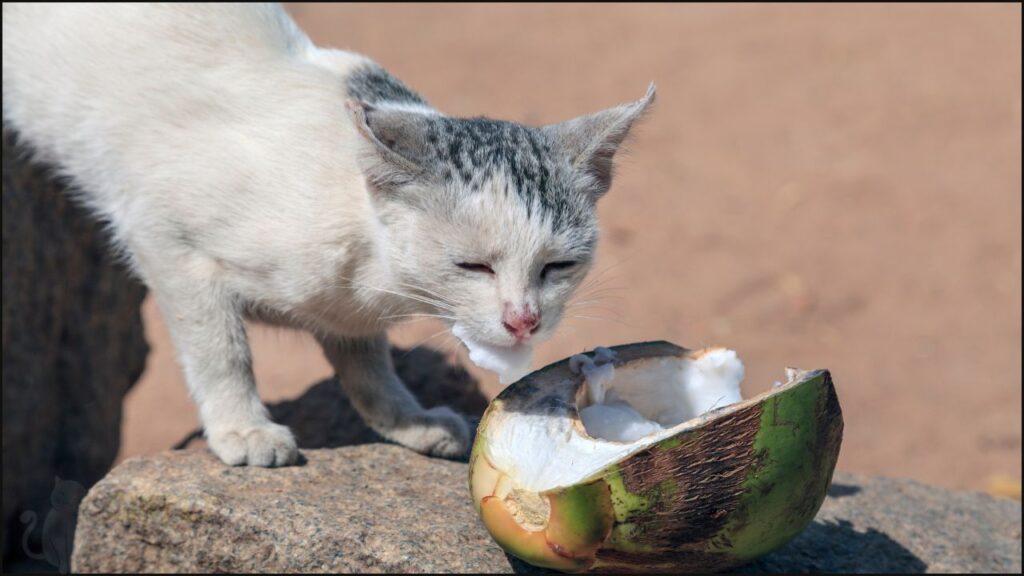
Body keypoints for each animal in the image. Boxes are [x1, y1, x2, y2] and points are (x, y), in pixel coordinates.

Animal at [0, 2, 655, 463]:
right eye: (473, 266)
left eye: (558, 267)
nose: (524, 321)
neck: (370, 274)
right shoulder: (163, 237)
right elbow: (220, 348)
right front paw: (243, 428)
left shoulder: (349, 312)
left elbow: (366, 363)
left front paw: (407, 420)